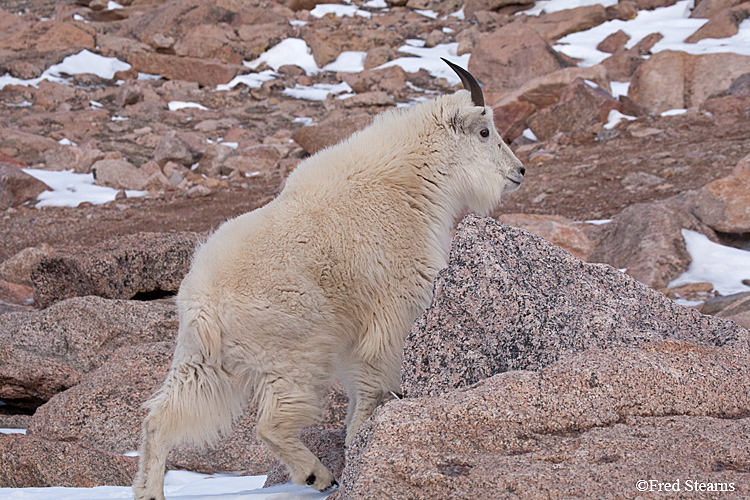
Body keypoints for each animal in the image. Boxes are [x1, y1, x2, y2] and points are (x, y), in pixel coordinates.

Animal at [134, 59, 524, 500]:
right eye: (484, 131)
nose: (519, 172)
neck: (411, 179)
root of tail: (202, 306)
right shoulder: (394, 305)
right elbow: (372, 380)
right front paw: (358, 439)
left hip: (203, 362)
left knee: (160, 419)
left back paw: (150, 492)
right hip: (297, 350)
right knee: (270, 424)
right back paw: (316, 474)